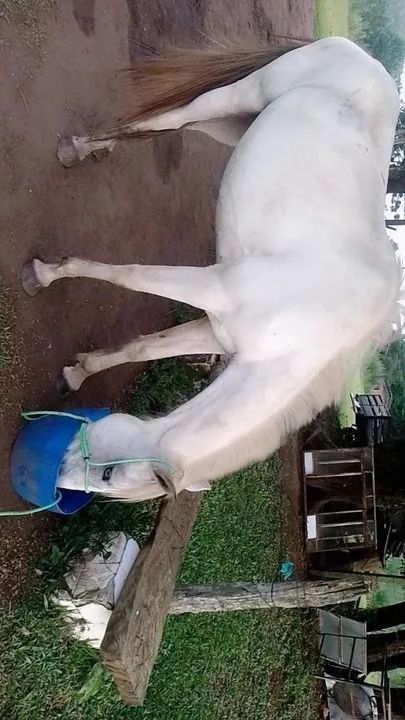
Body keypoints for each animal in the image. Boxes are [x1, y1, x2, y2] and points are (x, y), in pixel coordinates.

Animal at [22, 37, 401, 502]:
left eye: (108, 480)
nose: (53, 474)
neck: (303, 329)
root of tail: (359, 54)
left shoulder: (216, 329)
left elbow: (142, 349)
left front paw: (76, 373)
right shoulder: (213, 287)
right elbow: (126, 274)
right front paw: (44, 275)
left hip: (231, 124)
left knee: (169, 129)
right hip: (237, 98)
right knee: (169, 120)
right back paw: (77, 148)